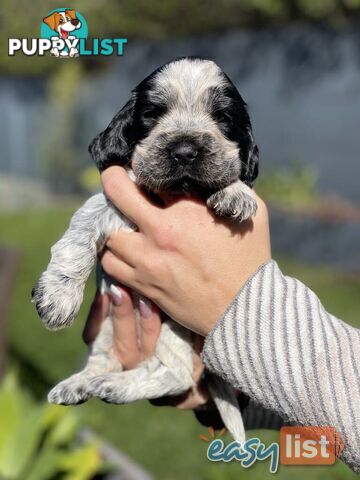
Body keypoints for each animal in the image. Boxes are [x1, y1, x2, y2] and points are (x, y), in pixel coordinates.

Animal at [32, 58, 258, 444]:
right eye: (152, 113)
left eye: (223, 117)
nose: (184, 151)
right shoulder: (108, 201)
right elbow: (78, 234)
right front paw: (59, 297)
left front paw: (235, 191)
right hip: (107, 323)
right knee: (105, 361)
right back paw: (83, 383)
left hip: (176, 327)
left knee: (177, 375)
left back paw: (114, 386)